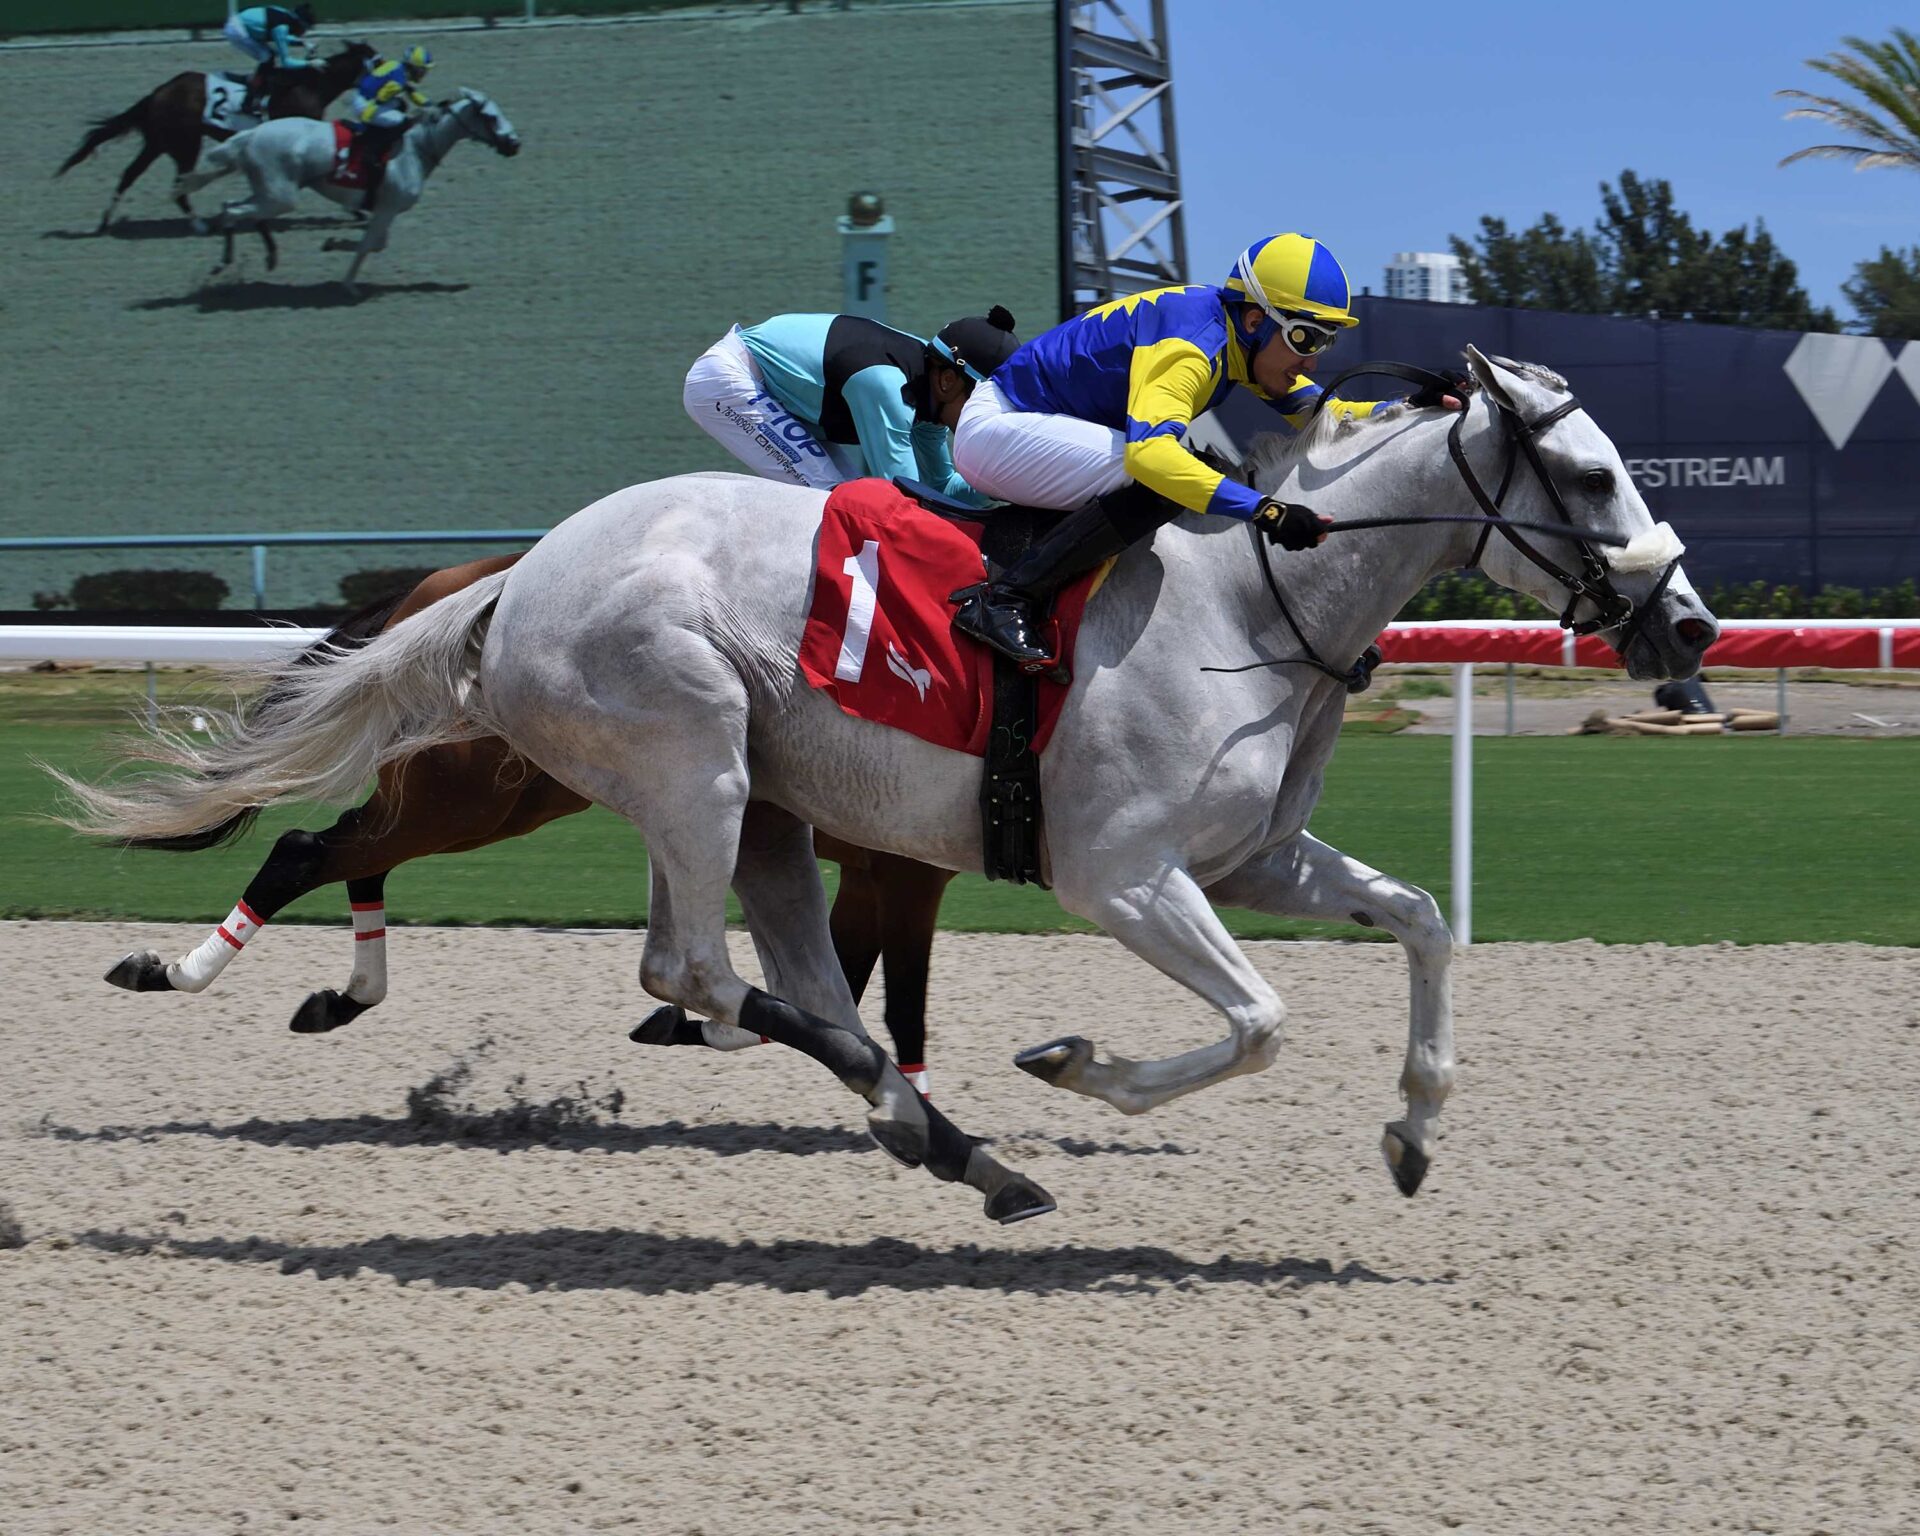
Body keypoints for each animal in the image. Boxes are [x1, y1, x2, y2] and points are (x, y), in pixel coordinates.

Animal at [55, 42, 374, 233]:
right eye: (377, 60)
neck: (310, 85)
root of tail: (158, 93)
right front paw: (355, 210)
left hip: (158, 143)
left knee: (129, 175)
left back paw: (105, 220)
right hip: (185, 144)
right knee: (178, 185)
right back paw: (199, 226)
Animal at [98, 555, 954, 1096]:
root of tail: (437, 588)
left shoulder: (878, 869)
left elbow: (841, 985)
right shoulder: (906, 869)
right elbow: (891, 1003)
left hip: (475, 801)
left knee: (354, 856)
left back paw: (341, 996)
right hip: (468, 796)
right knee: (307, 849)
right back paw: (174, 971)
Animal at [176, 89, 520, 294]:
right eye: (491, 117)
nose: (514, 144)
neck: (416, 147)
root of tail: (251, 134)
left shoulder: (385, 210)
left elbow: (375, 244)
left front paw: (333, 244)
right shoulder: (387, 208)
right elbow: (371, 244)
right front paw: (348, 282)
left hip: (268, 194)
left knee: (231, 206)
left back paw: (248, 260)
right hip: (280, 197)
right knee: (232, 210)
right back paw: (226, 263)